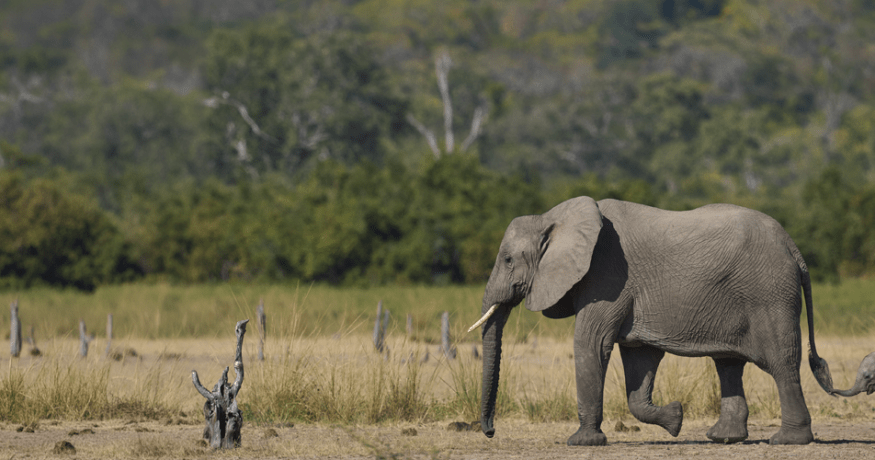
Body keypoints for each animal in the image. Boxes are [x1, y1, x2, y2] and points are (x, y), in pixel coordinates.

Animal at [469, 196, 875, 446]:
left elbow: (591, 344)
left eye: (507, 260)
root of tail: (795, 249)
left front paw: (581, 442)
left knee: (780, 362)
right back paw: (723, 438)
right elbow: (638, 358)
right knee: (729, 363)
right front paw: (676, 419)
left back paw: (786, 440)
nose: (488, 432)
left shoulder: (607, 278)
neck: (555, 217)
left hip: (770, 294)